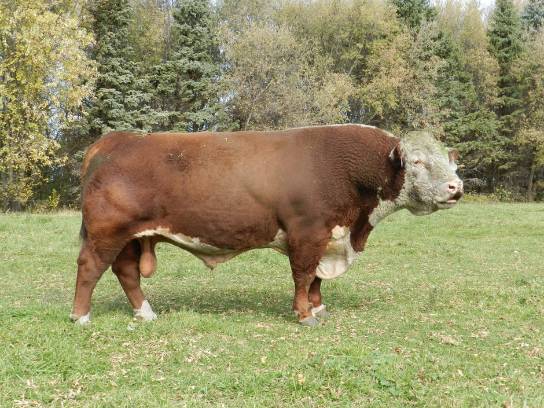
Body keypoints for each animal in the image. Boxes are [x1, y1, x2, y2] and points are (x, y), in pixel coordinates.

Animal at [71, 125, 463, 326]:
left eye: (451, 162)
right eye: (417, 161)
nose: (455, 187)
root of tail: (115, 139)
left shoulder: (327, 237)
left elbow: (316, 279)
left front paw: (318, 307)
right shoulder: (308, 232)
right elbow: (304, 274)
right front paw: (304, 314)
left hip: (130, 237)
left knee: (126, 272)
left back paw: (146, 313)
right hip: (107, 232)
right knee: (90, 267)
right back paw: (81, 316)